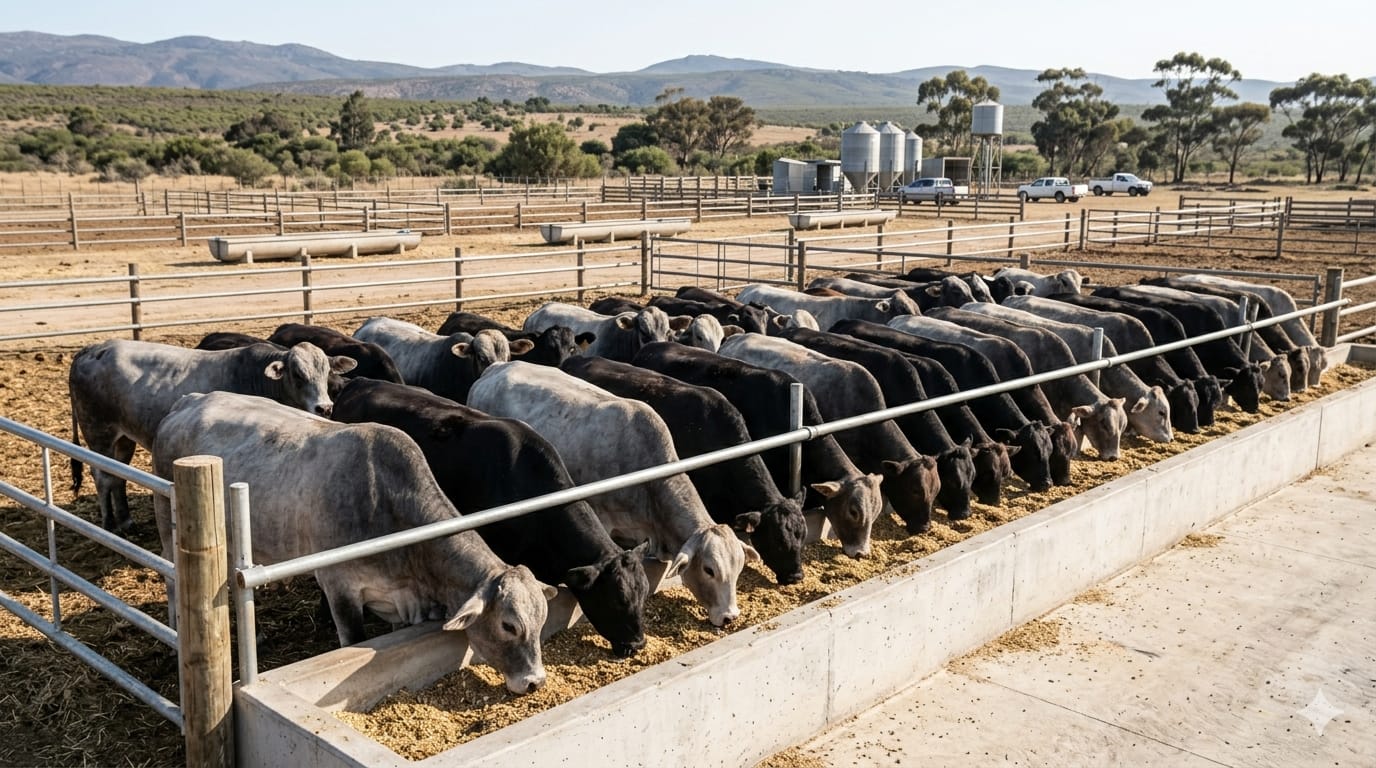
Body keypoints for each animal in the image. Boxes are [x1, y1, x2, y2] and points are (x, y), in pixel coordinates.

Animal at [68, 339, 354, 532]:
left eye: (326, 372)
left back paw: (126, 520)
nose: (324, 407)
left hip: (123, 438)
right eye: (297, 374)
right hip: (98, 432)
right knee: (103, 477)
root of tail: (92, 349)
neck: (257, 377)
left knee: (117, 475)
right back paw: (109, 524)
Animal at [151, 391, 555, 694]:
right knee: (170, 576)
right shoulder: (339, 587)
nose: (535, 682)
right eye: (509, 626)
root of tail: (189, 401)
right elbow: (352, 641)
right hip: (168, 524)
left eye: (541, 621)